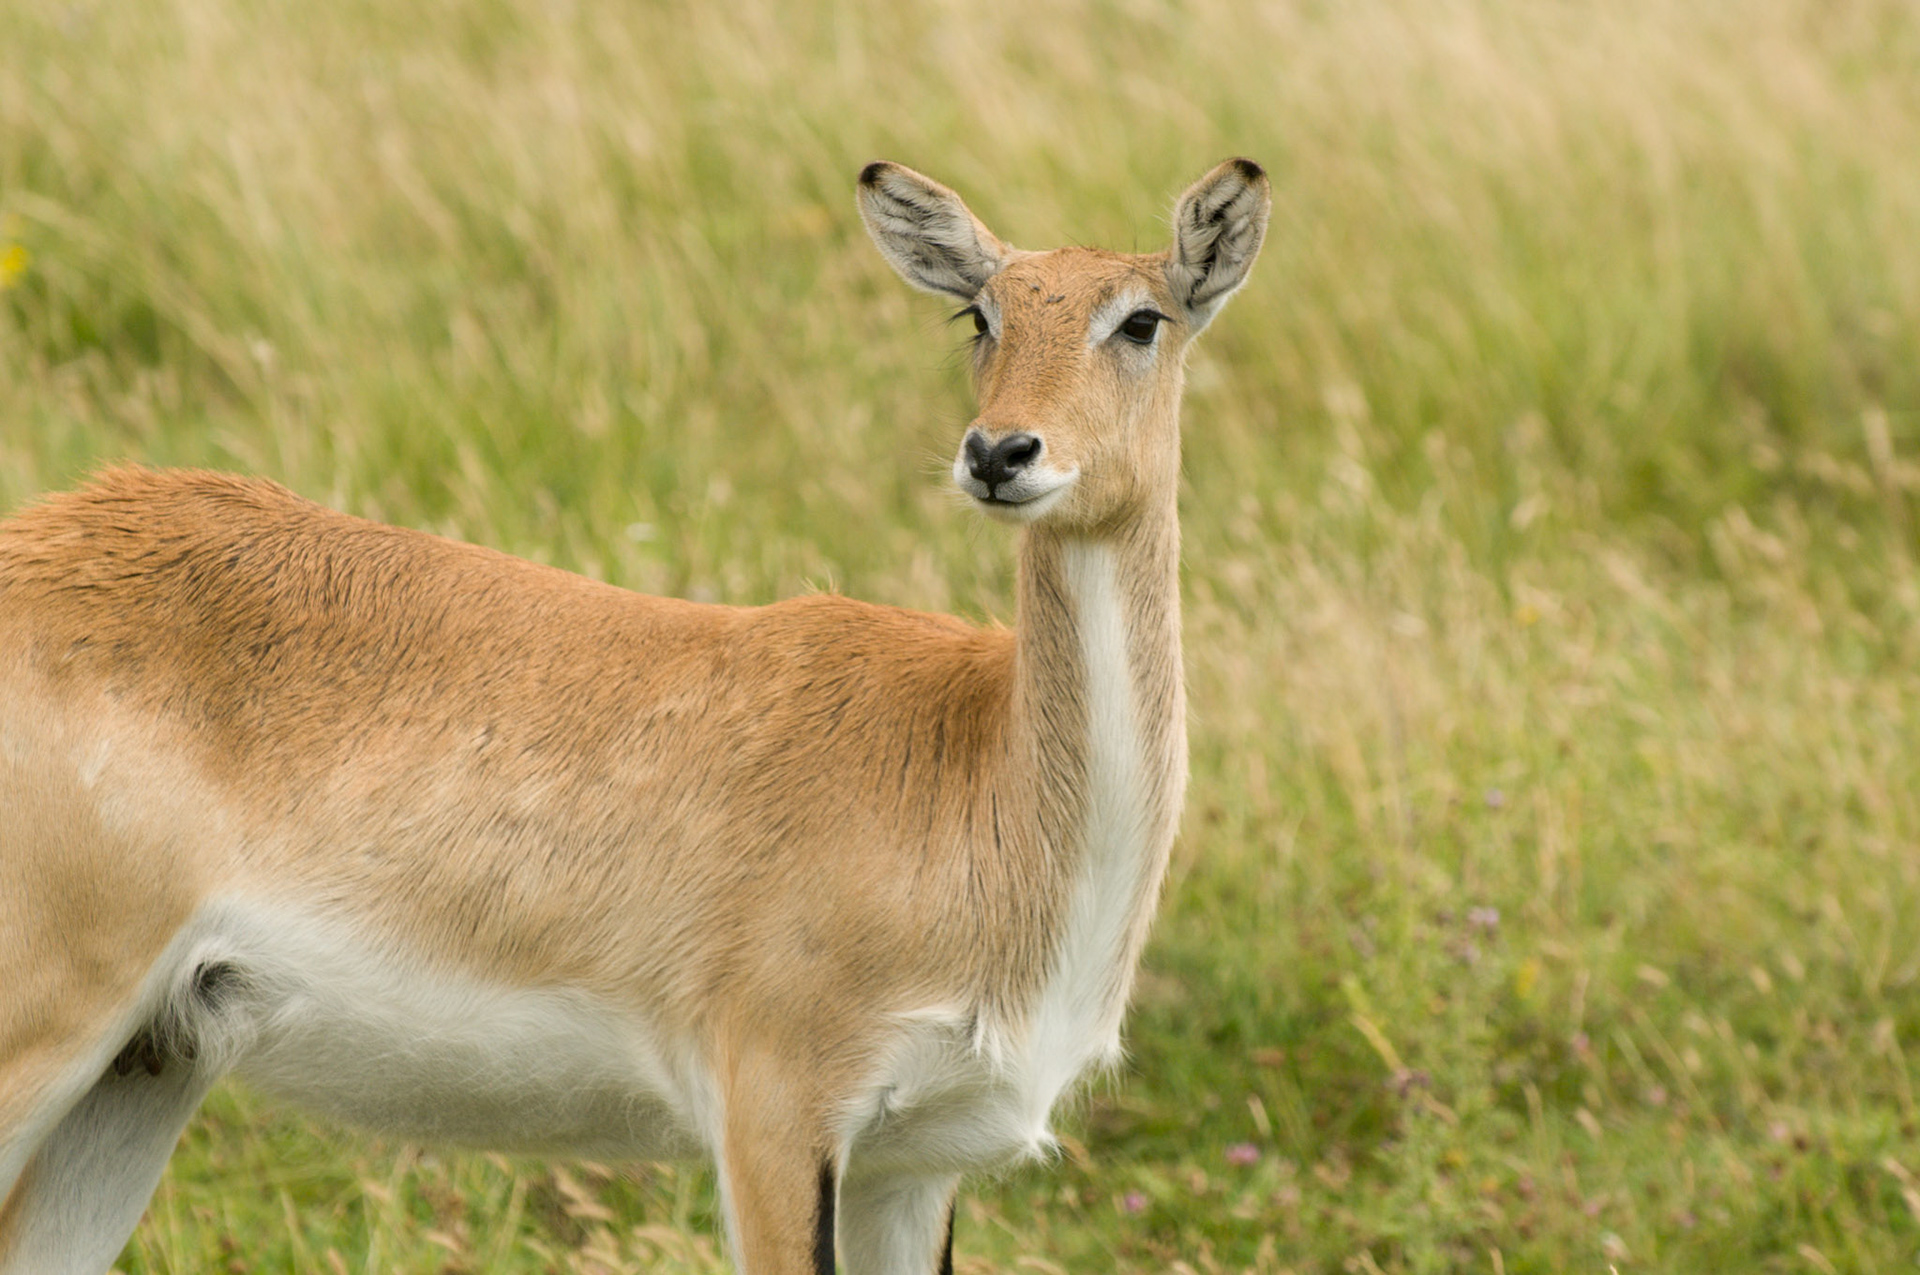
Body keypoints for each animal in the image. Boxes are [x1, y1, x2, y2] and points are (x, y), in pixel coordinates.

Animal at [0, 158, 1269, 1275]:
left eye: (1142, 319)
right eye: (979, 312)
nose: (1001, 452)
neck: (979, 770)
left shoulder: (914, 1166)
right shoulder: (773, 1114)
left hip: (142, 1074)